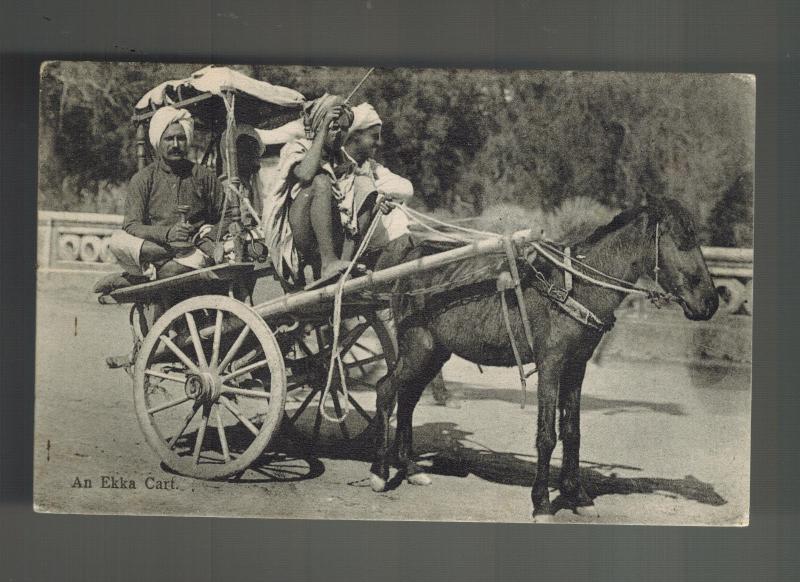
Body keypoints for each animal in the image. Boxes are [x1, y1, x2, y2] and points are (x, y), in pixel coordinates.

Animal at [368, 197, 720, 520]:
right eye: (684, 240)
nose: (711, 302)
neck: (574, 286)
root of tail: (410, 260)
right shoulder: (551, 363)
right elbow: (547, 435)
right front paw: (542, 502)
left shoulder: (576, 366)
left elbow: (572, 431)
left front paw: (577, 495)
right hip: (417, 348)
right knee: (386, 390)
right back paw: (380, 472)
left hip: (434, 353)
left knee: (408, 398)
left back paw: (410, 468)